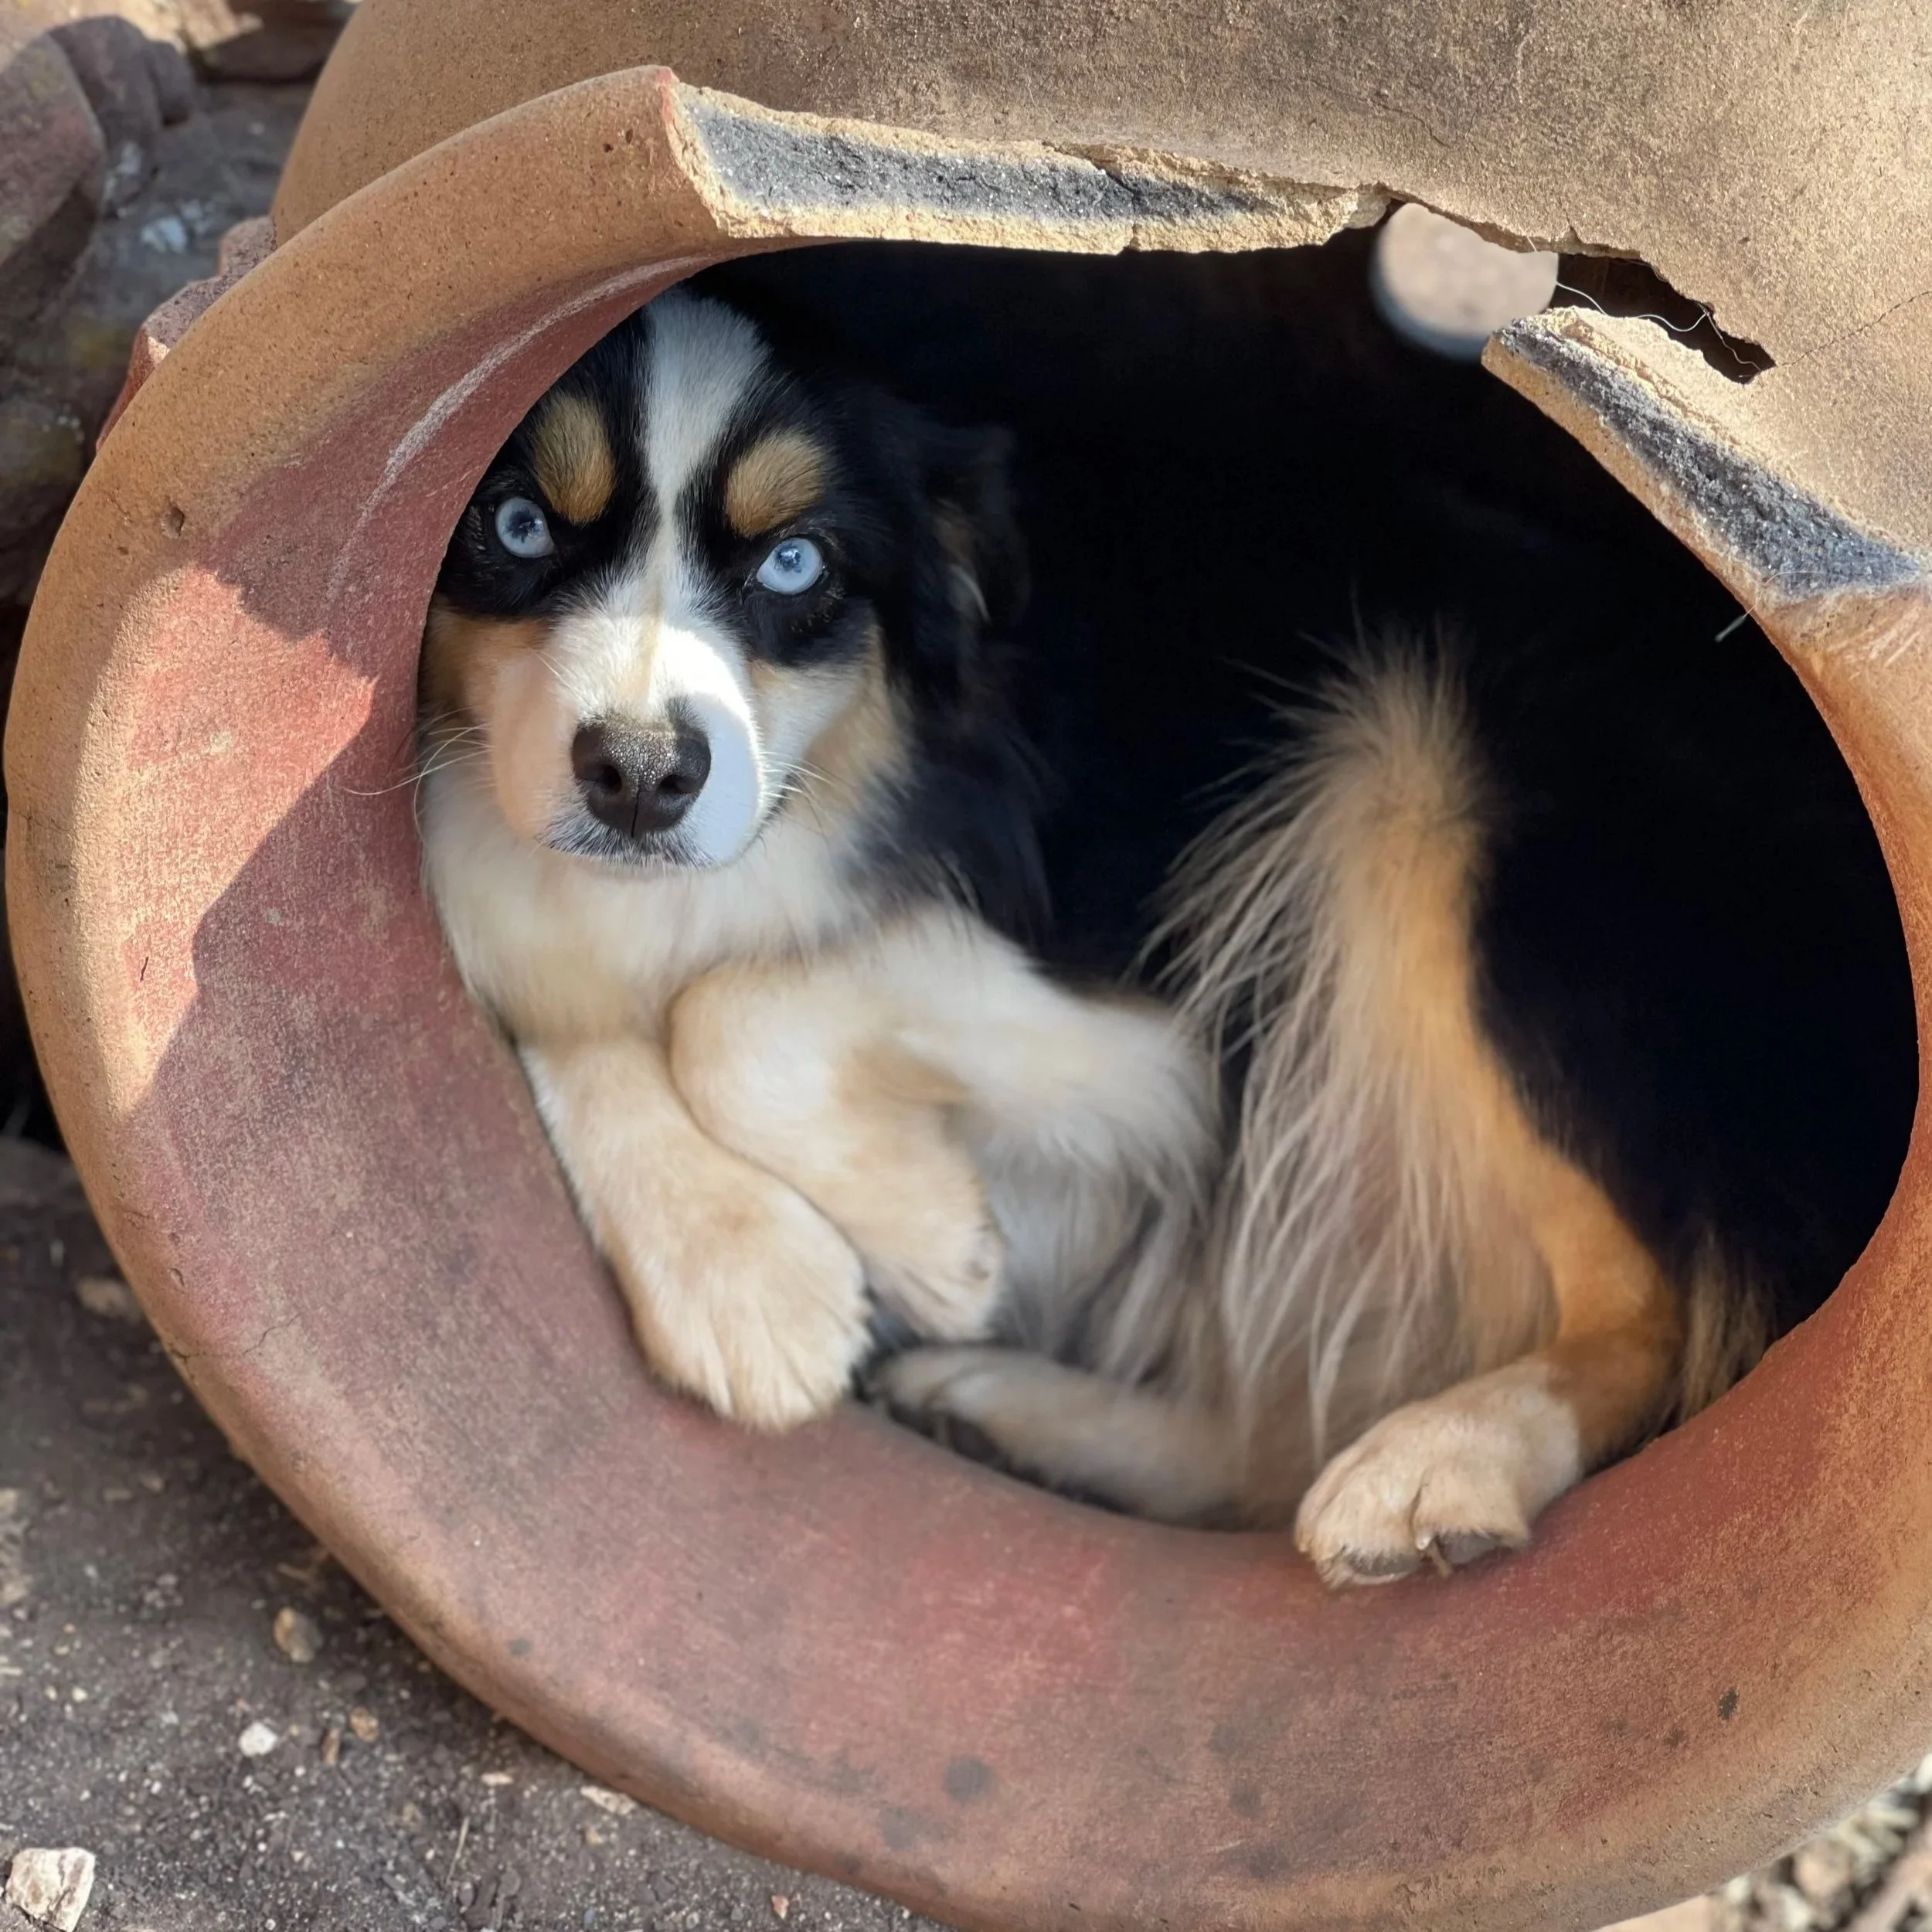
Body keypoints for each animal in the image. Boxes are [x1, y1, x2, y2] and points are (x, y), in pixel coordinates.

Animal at [423, 270, 1916, 1585]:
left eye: (796, 563)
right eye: (516, 528)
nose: (639, 775)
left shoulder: (1159, 1037)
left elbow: (735, 1007)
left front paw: (933, 1245)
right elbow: (549, 1002)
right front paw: (739, 1269)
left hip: (1440, 785)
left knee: (1643, 1319)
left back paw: (1443, 1458)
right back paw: (1013, 1408)